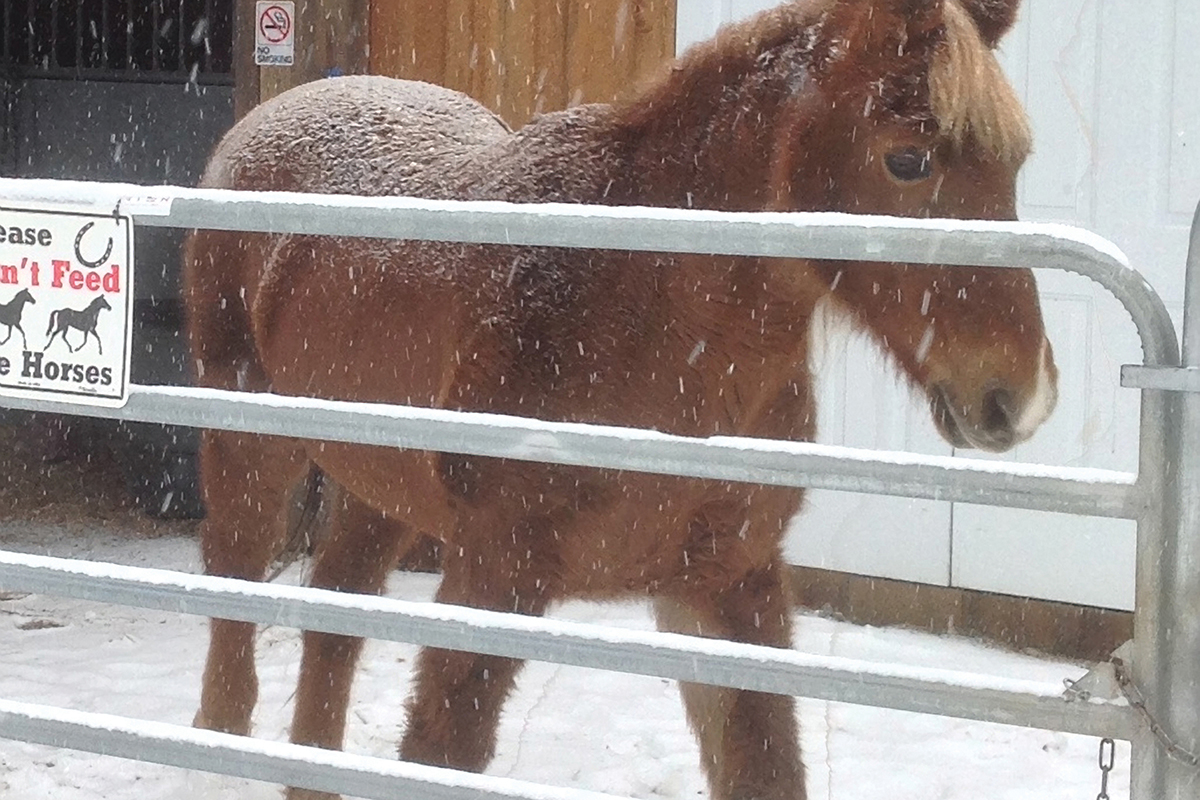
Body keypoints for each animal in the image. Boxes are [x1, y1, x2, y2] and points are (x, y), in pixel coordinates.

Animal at [182, 0, 1056, 796]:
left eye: (1016, 163)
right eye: (907, 160)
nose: (1018, 396)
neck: (642, 309)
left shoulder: (727, 583)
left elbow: (765, 768)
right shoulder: (495, 575)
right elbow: (438, 750)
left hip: (381, 486)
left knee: (336, 614)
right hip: (250, 450)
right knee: (232, 623)